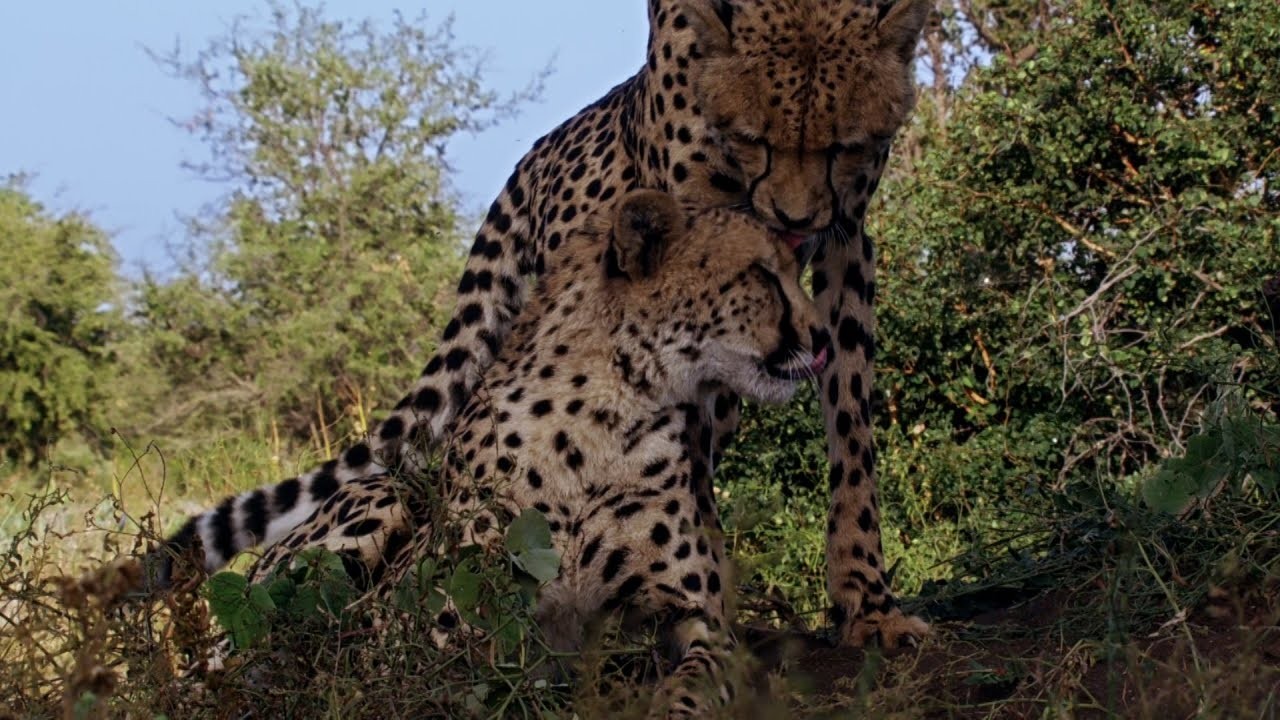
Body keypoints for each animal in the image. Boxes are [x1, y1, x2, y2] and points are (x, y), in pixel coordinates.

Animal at [151, 0, 933, 649]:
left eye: (848, 144)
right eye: (752, 137)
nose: (794, 221)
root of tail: (544, 140)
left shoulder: (847, 238)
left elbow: (851, 424)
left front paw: (868, 605)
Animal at [225, 190, 832, 718]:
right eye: (763, 273)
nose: (824, 339)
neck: (605, 415)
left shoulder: (701, 623)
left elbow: (690, 688)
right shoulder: (423, 628)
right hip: (382, 497)